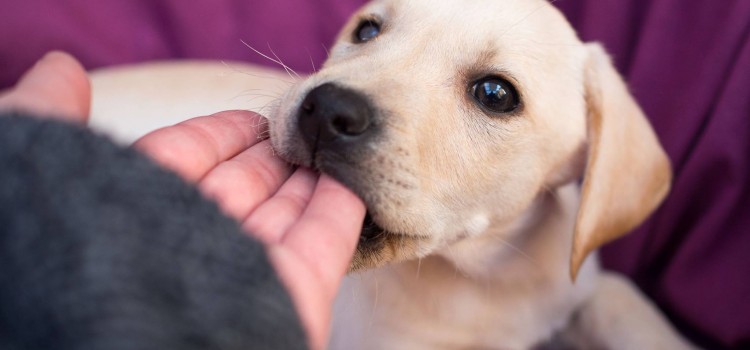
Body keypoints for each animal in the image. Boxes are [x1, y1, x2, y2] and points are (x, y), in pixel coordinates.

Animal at [266, 0, 700, 348]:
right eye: (367, 30)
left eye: (495, 94)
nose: (327, 110)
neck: (484, 275)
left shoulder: (586, 289)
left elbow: (623, 298)